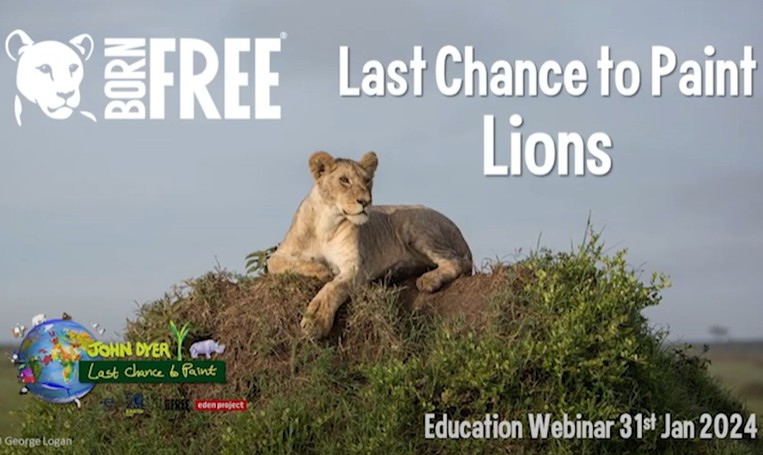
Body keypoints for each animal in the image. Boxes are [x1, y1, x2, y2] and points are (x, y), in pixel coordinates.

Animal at [268, 152, 472, 338]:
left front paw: (316, 320)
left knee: (455, 261)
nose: (365, 201)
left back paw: (428, 280)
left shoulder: (355, 268)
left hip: (411, 222)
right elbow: (281, 264)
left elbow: (333, 288)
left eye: (367, 181)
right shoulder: (281, 253)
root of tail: (461, 236)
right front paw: (321, 270)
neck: (326, 224)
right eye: (344, 180)